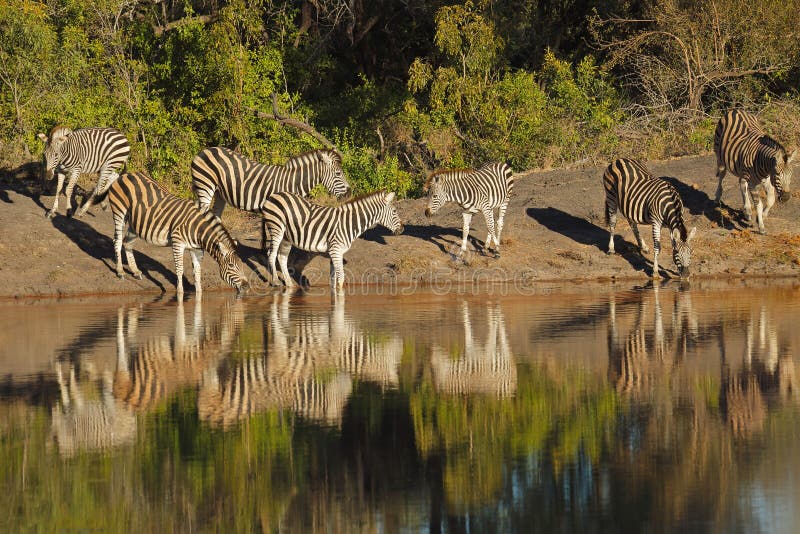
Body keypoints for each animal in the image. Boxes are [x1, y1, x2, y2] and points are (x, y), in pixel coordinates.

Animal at [101, 172, 250, 298]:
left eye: (242, 265)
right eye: (231, 266)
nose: (247, 287)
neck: (199, 231)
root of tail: (125, 174)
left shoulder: (197, 250)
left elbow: (197, 272)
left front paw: (199, 295)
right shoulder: (178, 243)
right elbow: (179, 270)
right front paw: (180, 294)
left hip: (136, 222)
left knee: (127, 242)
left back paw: (135, 271)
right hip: (119, 212)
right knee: (117, 241)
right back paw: (120, 271)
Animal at [262, 191, 404, 292]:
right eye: (394, 211)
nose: (402, 229)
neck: (348, 223)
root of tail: (274, 195)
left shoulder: (335, 251)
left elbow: (333, 280)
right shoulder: (336, 250)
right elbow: (341, 279)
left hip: (287, 237)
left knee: (282, 257)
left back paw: (289, 284)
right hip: (276, 228)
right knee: (271, 254)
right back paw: (276, 281)